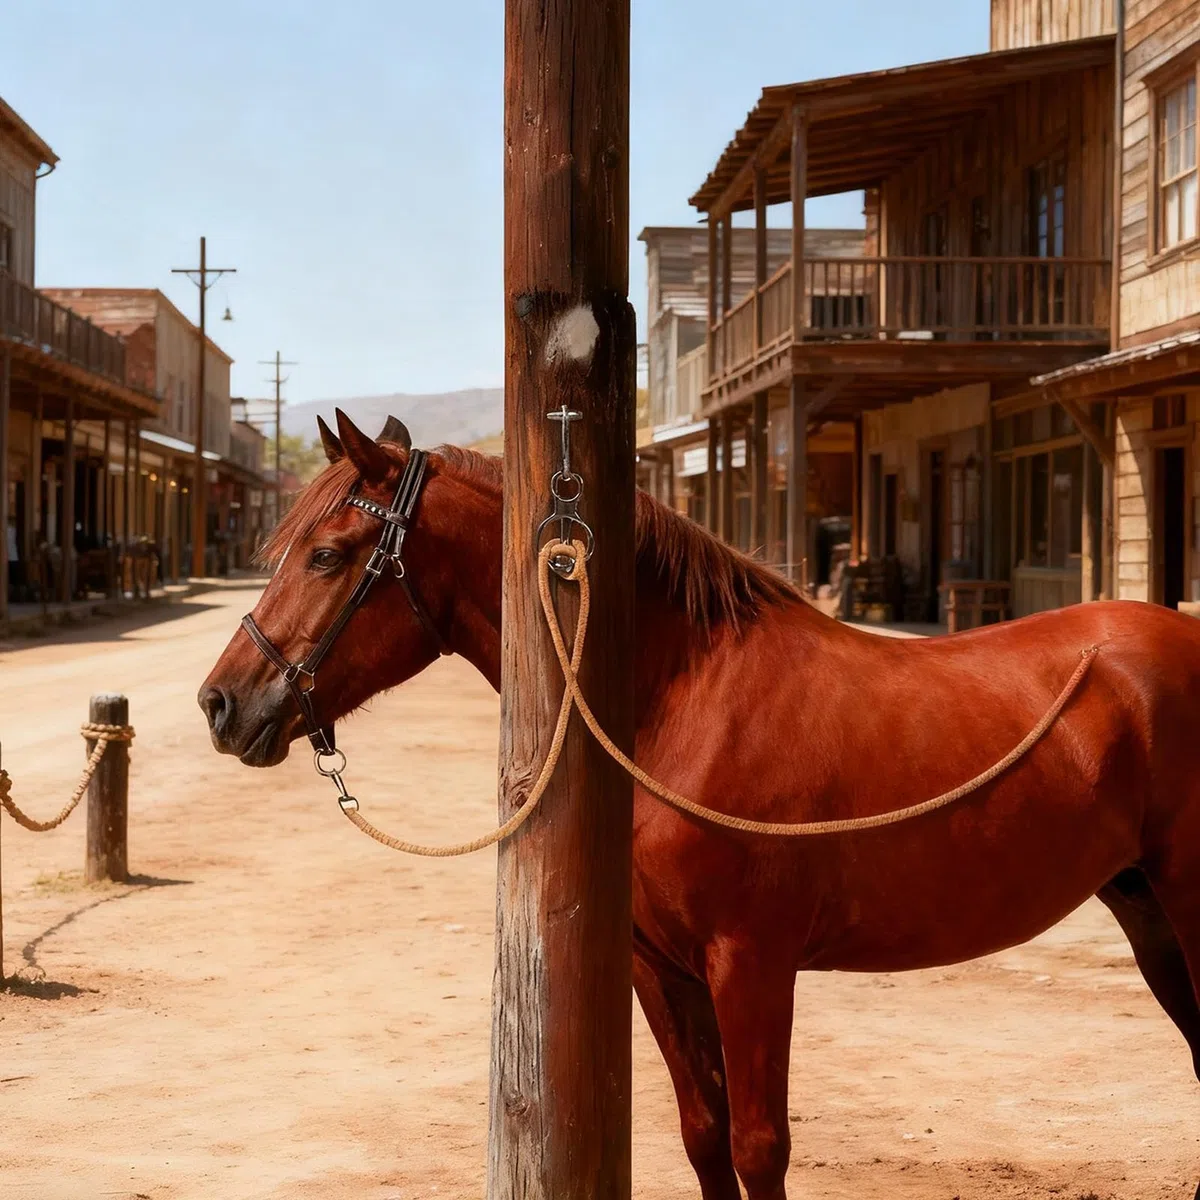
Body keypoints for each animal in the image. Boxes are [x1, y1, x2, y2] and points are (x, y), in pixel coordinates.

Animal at [200, 410, 1200, 1200]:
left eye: (328, 555)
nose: (222, 703)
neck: (682, 696)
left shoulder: (750, 964)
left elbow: (760, 1148)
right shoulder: (661, 967)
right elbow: (704, 1138)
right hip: (1147, 912)